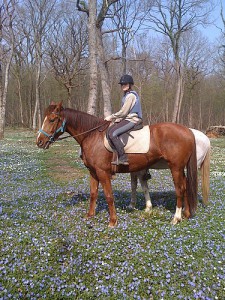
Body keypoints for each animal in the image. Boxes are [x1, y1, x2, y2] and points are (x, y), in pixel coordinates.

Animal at [36, 103, 198, 227]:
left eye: (52, 120)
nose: (39, 142)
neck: (92, 135)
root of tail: (188, 131)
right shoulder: (93, 172)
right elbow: (93, 194)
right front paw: (90, 215)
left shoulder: (103, 172)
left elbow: (109, 196)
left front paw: (113, 221)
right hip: (179, 169)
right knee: (186, 185)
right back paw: (186, 214)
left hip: (175, 168)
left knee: (180, 189)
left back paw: (176, 218)